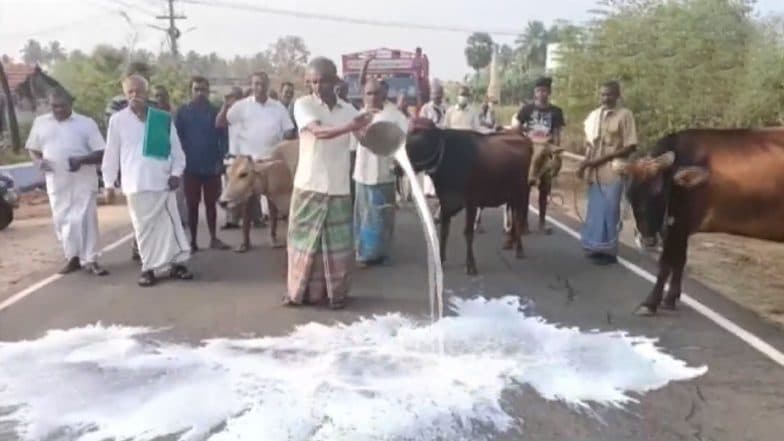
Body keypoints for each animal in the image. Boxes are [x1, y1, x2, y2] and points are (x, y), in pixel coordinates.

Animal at [404, 118, 532, 274]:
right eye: (407, 139)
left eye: (420, 140)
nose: (396, 167)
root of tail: (522, 137)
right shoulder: (446, 202)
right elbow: (444, 232)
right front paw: (441, 259)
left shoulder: (471, 203)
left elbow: (468, 233)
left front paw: (471, 265)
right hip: (512, 196)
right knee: (514, 217)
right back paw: (510, 243)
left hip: (521, 193)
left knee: (518, 219)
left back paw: (519, 249)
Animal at [616, 129, 784, 314]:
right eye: (630, 194)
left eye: (660, 192)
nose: (647, 240)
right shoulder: (680, 226)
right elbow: (679, 261)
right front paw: (670, 299)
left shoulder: (678, 227)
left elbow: (666, 263)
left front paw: (650, 303)